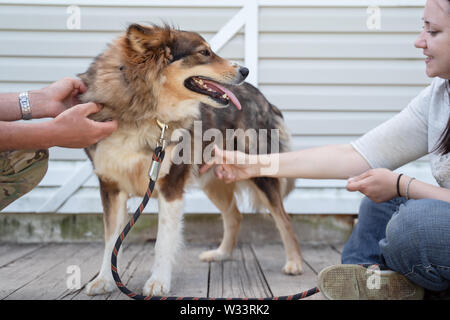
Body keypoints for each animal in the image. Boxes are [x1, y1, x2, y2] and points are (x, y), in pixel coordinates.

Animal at [78, 23, 302, 296]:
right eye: (204, 52)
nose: (245, 70)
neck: (144, 110)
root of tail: (265, 99)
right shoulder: (110, 187)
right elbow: (111, 239)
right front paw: (104, 280)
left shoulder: (171, 186)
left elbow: (163, 240)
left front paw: (158, 282)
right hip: (215, 180)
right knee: (234, 215)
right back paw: (222, 254)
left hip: (259, 170)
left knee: (283, 218)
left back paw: (294, 263)